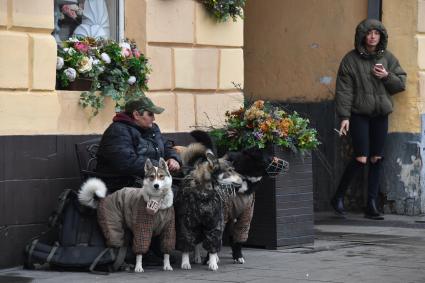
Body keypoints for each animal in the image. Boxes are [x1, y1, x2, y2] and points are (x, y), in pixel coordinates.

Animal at [174, 143, 242, 272]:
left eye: (234, 169)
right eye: (230, 171)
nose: (243, 179)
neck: (203, 192)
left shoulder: (214, 222)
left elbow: (213, 245)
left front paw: (212, 262)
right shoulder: (186, 223)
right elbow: (186, 243)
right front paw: (185, 262)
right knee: (196, 242)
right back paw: (196, 257)